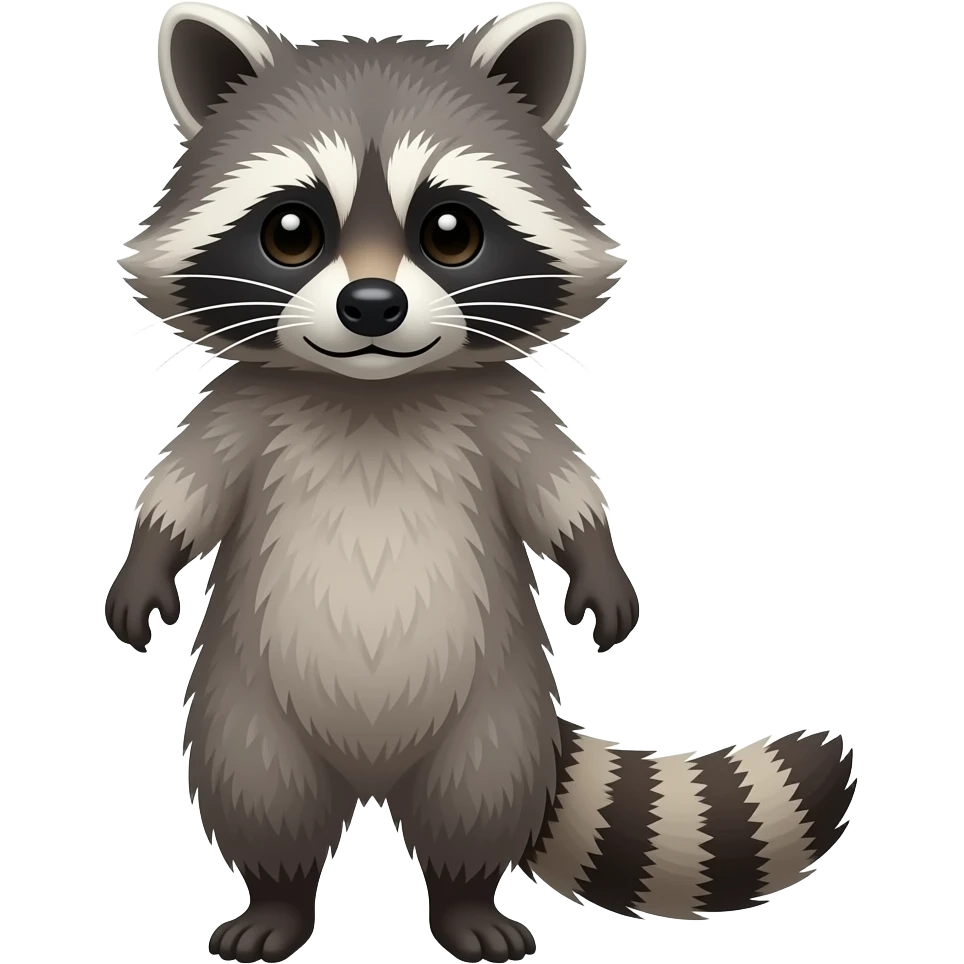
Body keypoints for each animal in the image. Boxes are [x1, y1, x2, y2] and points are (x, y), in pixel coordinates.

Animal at [106, 4, 856, 963]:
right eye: (291, 231)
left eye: (451, 231)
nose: (373, 307)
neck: (373, 392)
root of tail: (376, 772)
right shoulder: (245, 406)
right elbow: (186, 490)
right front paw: (146, 564)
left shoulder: (498, 407)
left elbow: (558, 490)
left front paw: (597, 561)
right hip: (247, 697)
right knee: (259, 789)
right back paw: (277, 896)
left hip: (496, 707)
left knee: (477, 798)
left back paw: (465, 900)